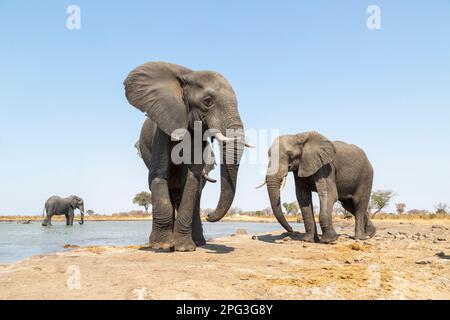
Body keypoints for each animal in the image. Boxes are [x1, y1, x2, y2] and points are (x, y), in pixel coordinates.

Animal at [124, 62, 250, 252]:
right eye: (208, 101)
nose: (209, 215)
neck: (188, 75)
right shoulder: (163, 129)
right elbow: (159, 175)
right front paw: (162, 246)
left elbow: (191, 180)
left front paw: (184, 248)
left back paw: (197, 242)